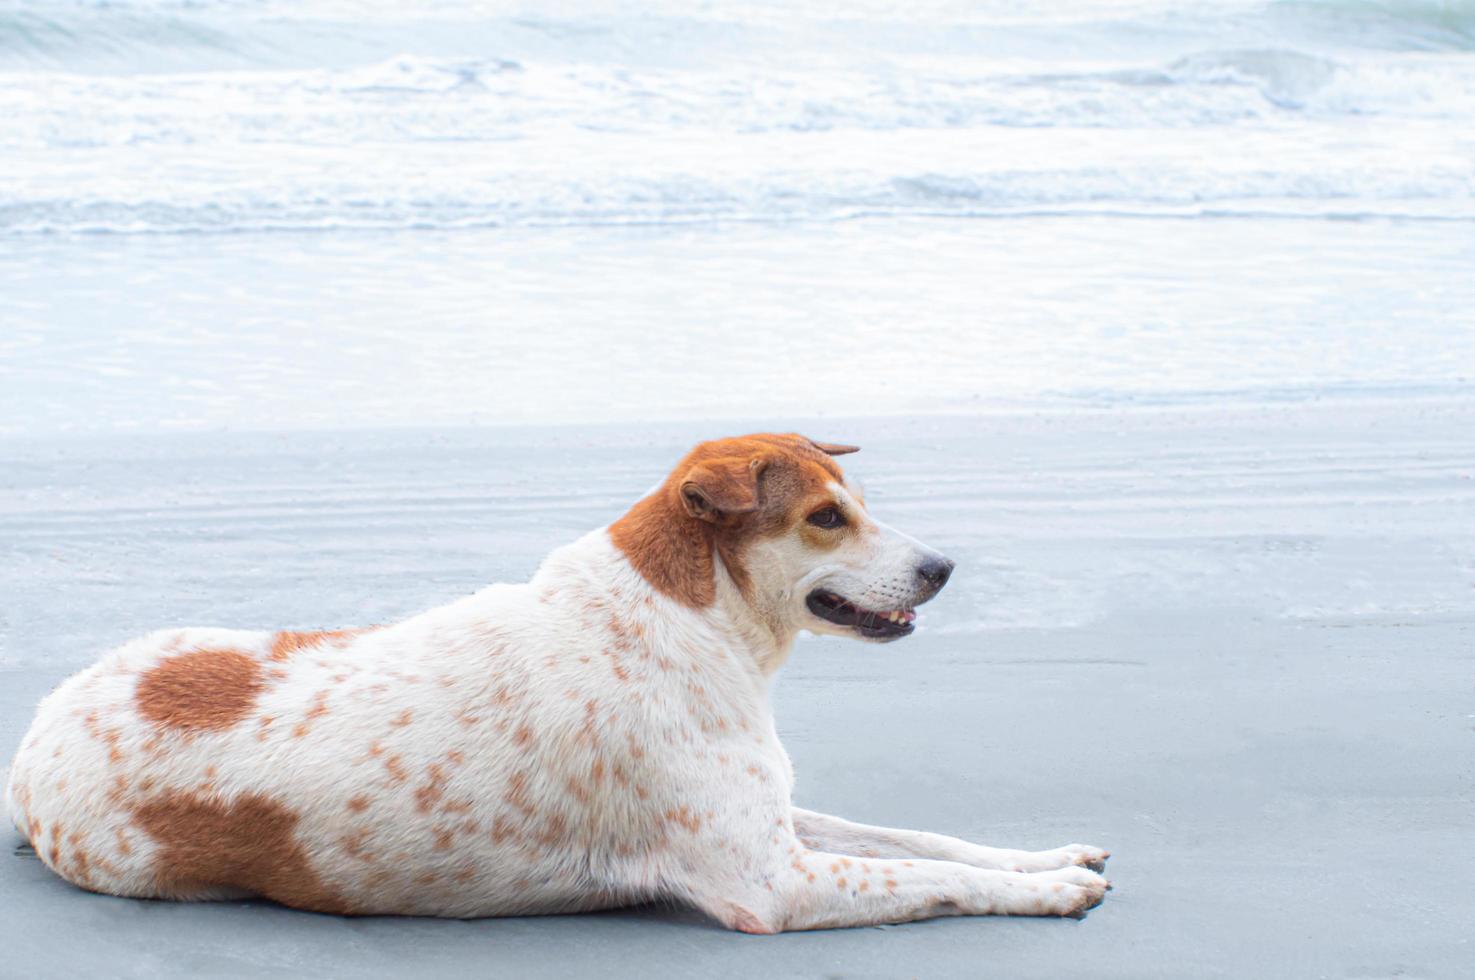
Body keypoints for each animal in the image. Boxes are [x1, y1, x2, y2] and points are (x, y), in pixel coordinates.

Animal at [0, 433, 1109, 932]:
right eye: (826, 518)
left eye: (859, 503)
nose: (944, 567)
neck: (686, 615)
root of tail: (39, 723)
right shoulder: (769, 882)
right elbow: (934, 878)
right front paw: (1048, 890)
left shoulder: (782, 825)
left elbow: (928, 841)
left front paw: (1045, 854)